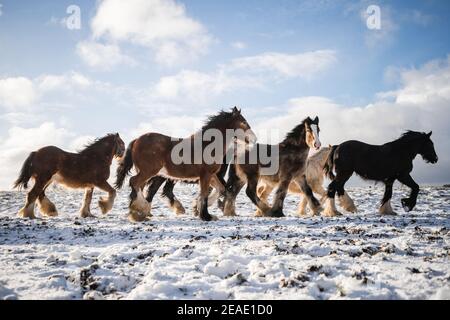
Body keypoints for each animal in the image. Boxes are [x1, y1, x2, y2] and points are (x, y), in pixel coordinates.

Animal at [115, 107, 256, 222]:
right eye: (244, 122)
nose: (254, 139)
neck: (207, 145)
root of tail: (136, 140)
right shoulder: (205, 175)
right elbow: (204, 193)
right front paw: (205, 216)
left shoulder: (211, 175)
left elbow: (220, 189)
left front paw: (199, 209)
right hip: (149, 171)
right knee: (135, 182)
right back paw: (141, 209)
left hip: (147, 173)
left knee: (140, 186)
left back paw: (137, 211)